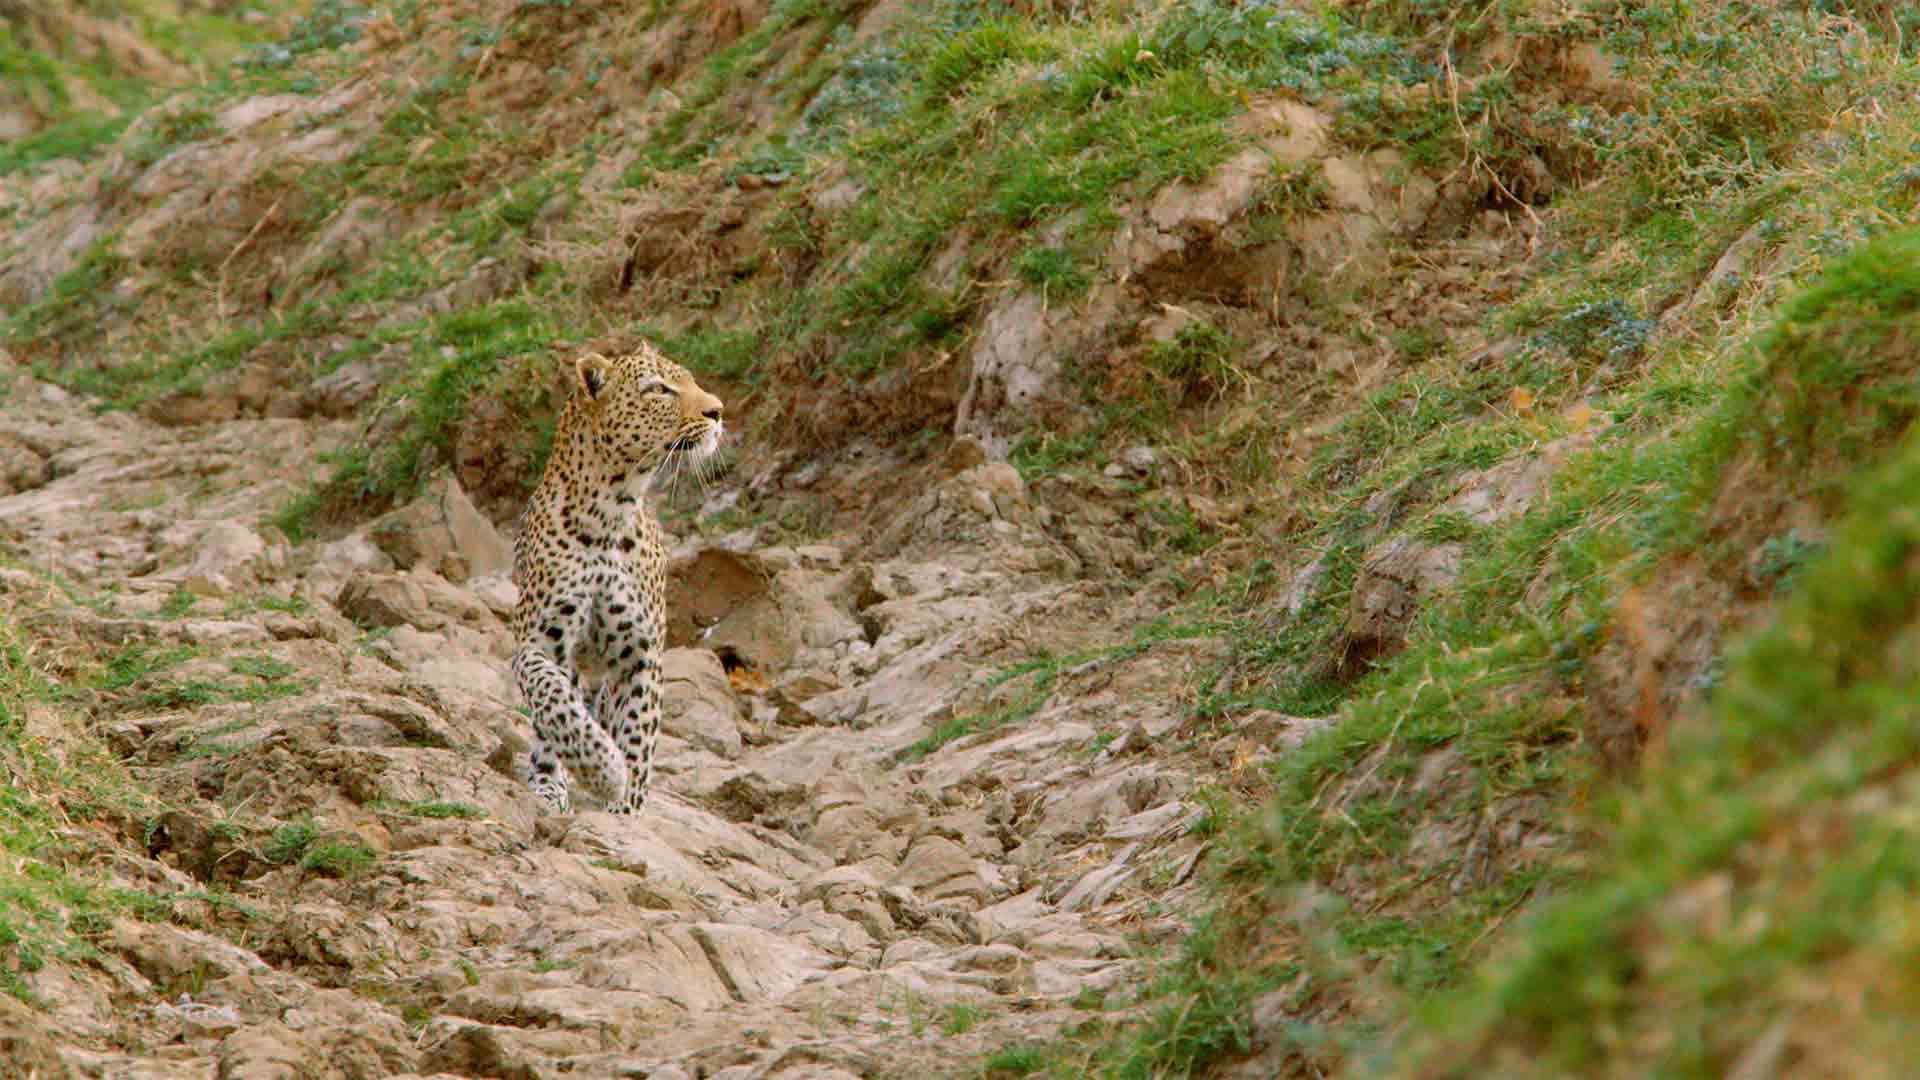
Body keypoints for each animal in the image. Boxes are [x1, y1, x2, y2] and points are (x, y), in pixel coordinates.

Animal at [510, 344, 724, 814]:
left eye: (691, 380)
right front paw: (602, 771)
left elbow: (638, 733)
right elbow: (555, 703)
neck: (609, 511)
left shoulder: (640, 652)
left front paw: (624, 805)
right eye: (659, 390)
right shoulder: (540, 642)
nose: (718, 411)